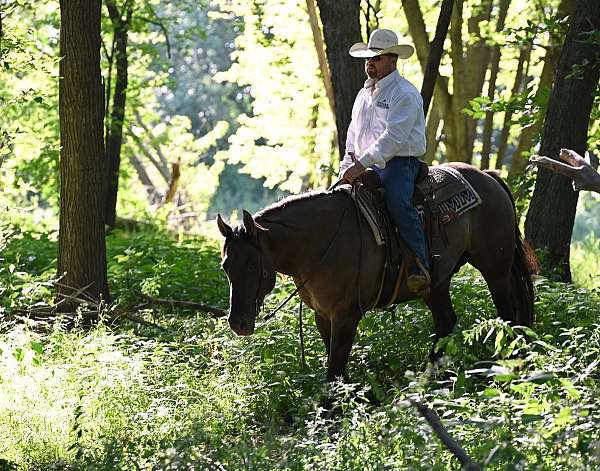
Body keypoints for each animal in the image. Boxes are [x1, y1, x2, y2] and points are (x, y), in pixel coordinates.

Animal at [217, 164, 540, 382]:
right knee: (446, 322)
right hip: (437, 284)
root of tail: (488, 176)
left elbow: (334, 368)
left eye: (252, 265)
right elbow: (335, 364)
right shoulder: (323, 315)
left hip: (495, 270)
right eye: (225, 266)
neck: (320, 241)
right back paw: (429, 379)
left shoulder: (346, 316)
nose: (238, 323)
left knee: (508, 314)